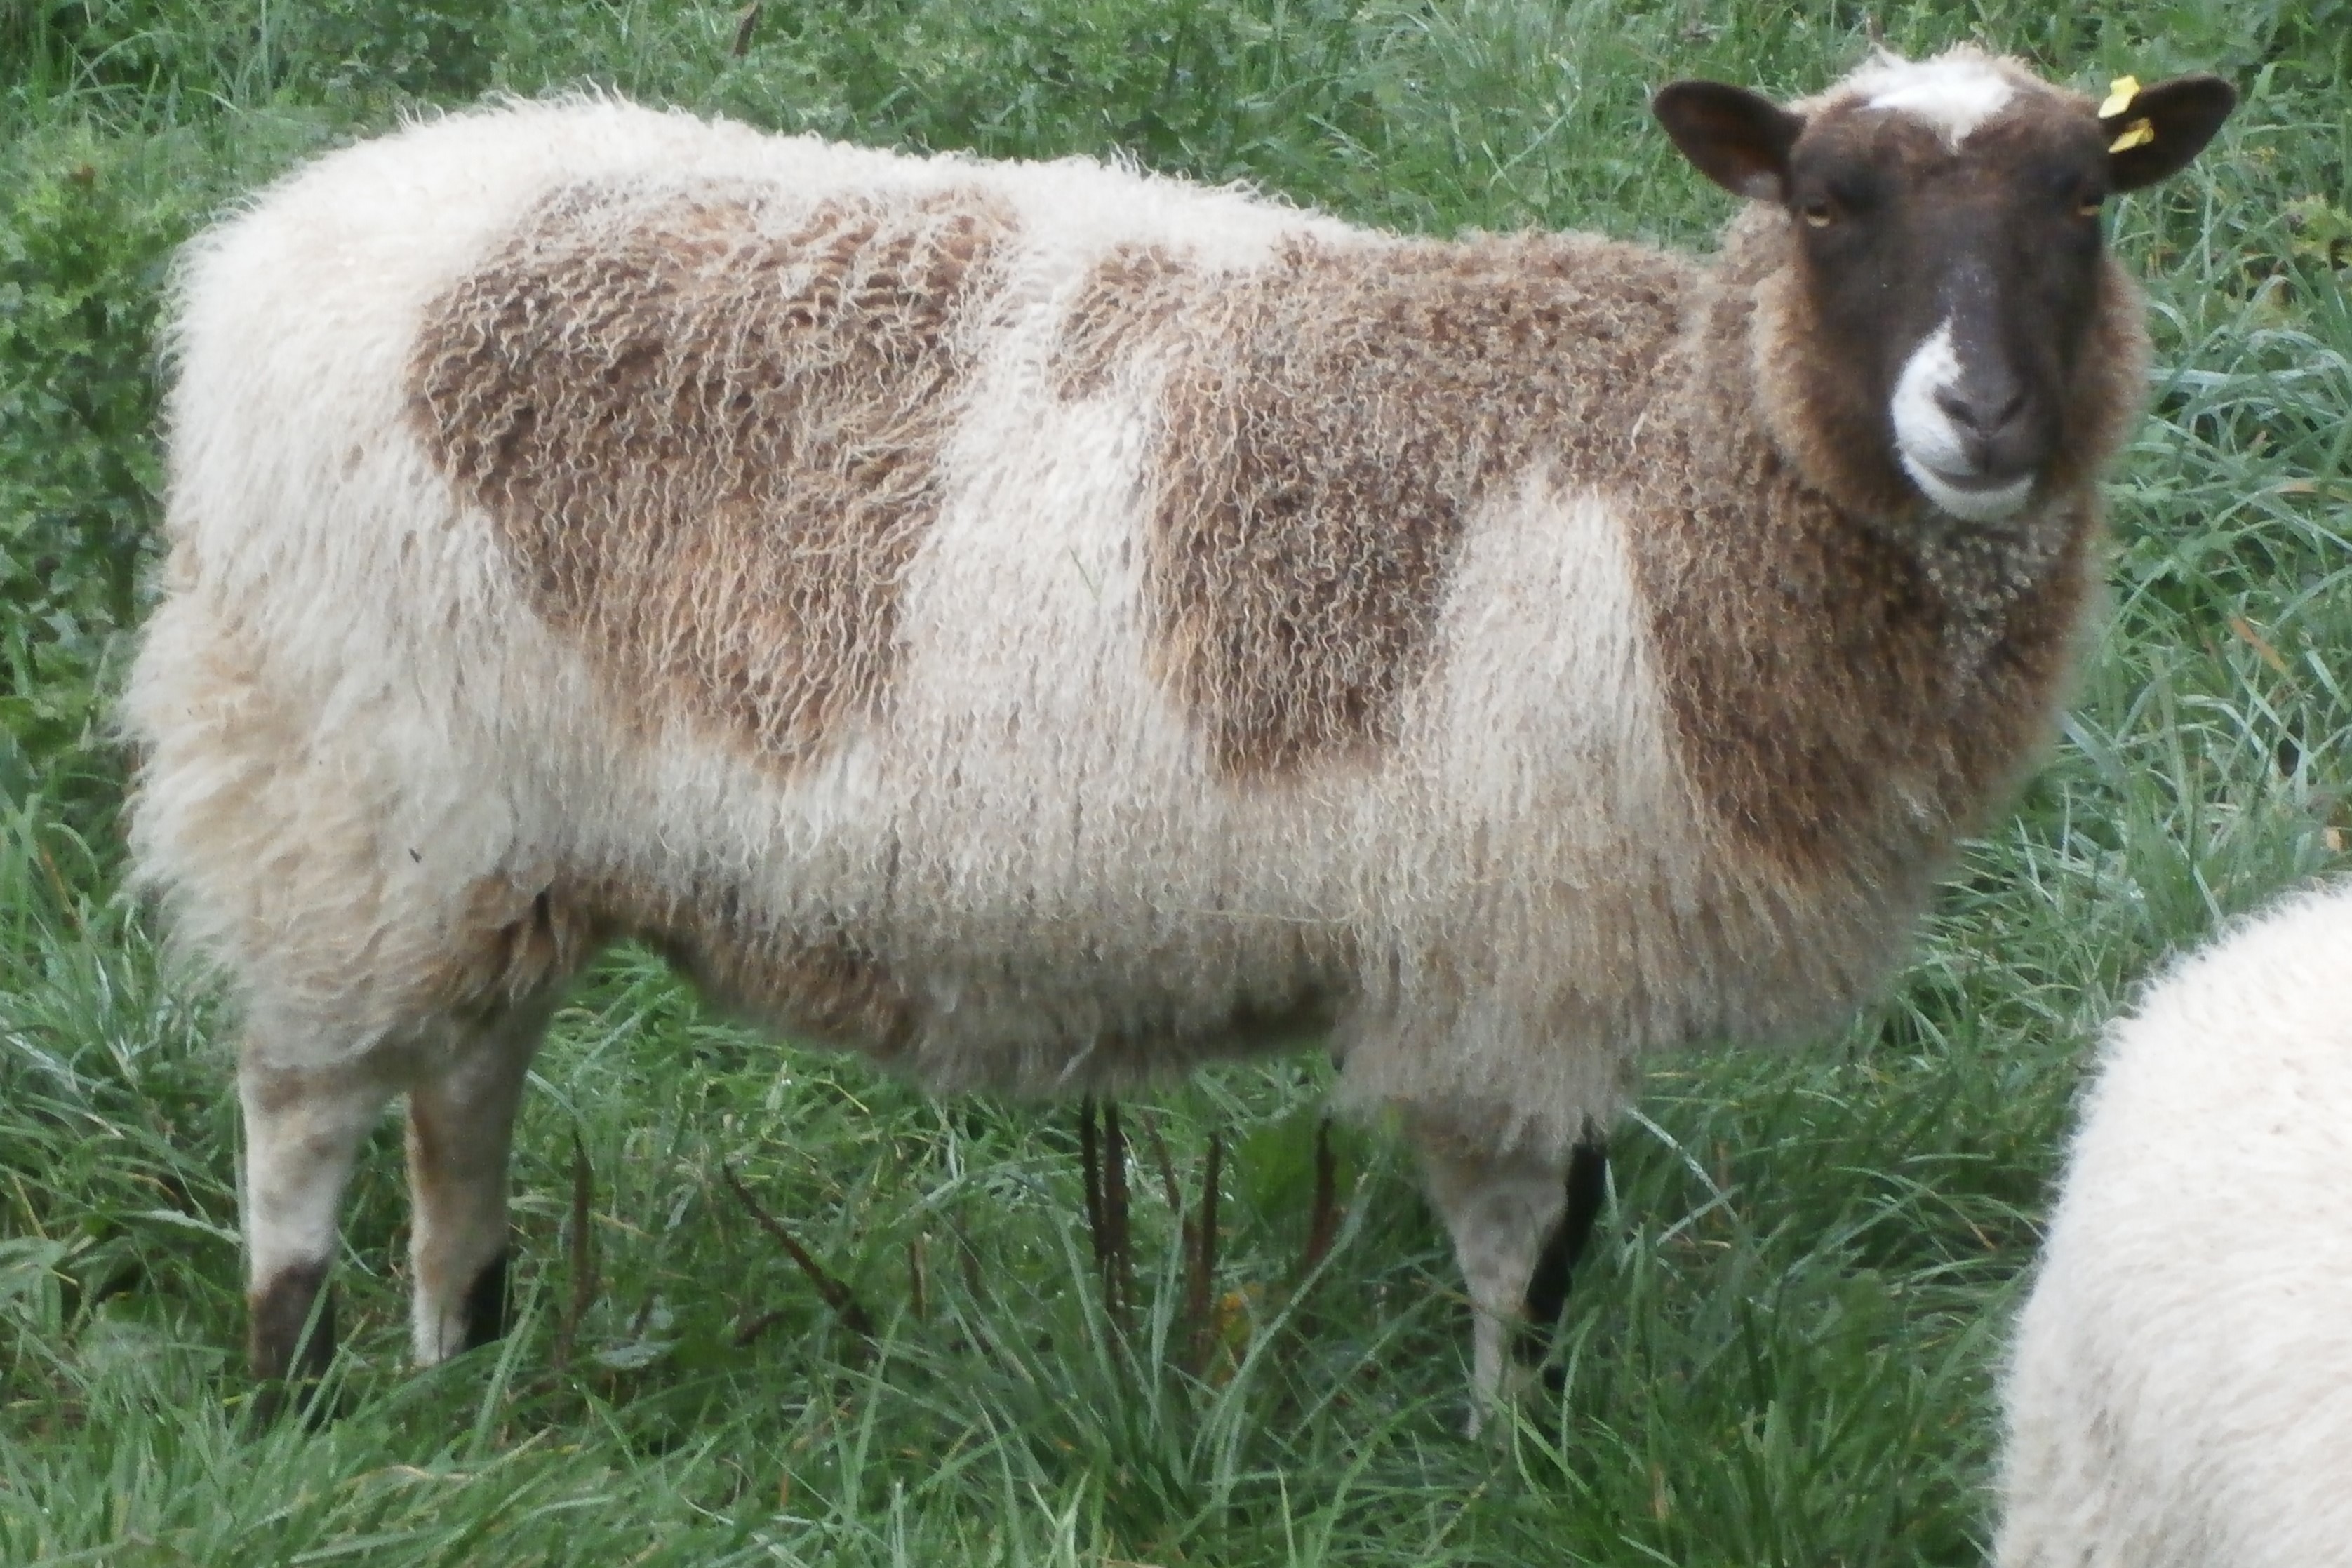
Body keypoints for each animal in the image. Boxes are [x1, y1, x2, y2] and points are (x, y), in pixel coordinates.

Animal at [123, 47, 2234, 1417]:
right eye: (1819, 205)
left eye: (2083, 203)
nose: (1978, 415)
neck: (1670, 488)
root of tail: (276, 242)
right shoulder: (1506, 962)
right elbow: (1526, 1249)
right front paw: (1515, 1459)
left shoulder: (1547, 944)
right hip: (339, 785)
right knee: (305, 1106)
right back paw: (294, 1391)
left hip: (493, 838)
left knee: (464, 1093)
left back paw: (463, 1362)